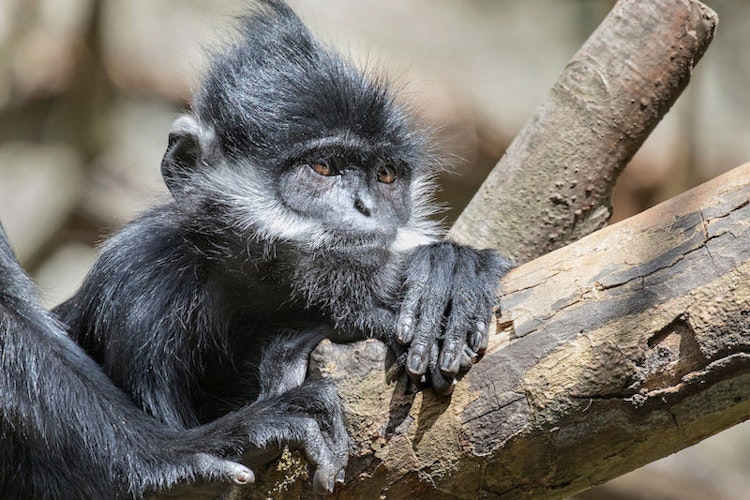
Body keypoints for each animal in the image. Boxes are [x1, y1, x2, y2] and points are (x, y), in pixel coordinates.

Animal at [1, 0, 512, 496]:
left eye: (385, 175)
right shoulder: (137, 285)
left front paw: (451, 270)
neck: (259, 290)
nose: (367, 208)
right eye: (323, 167)